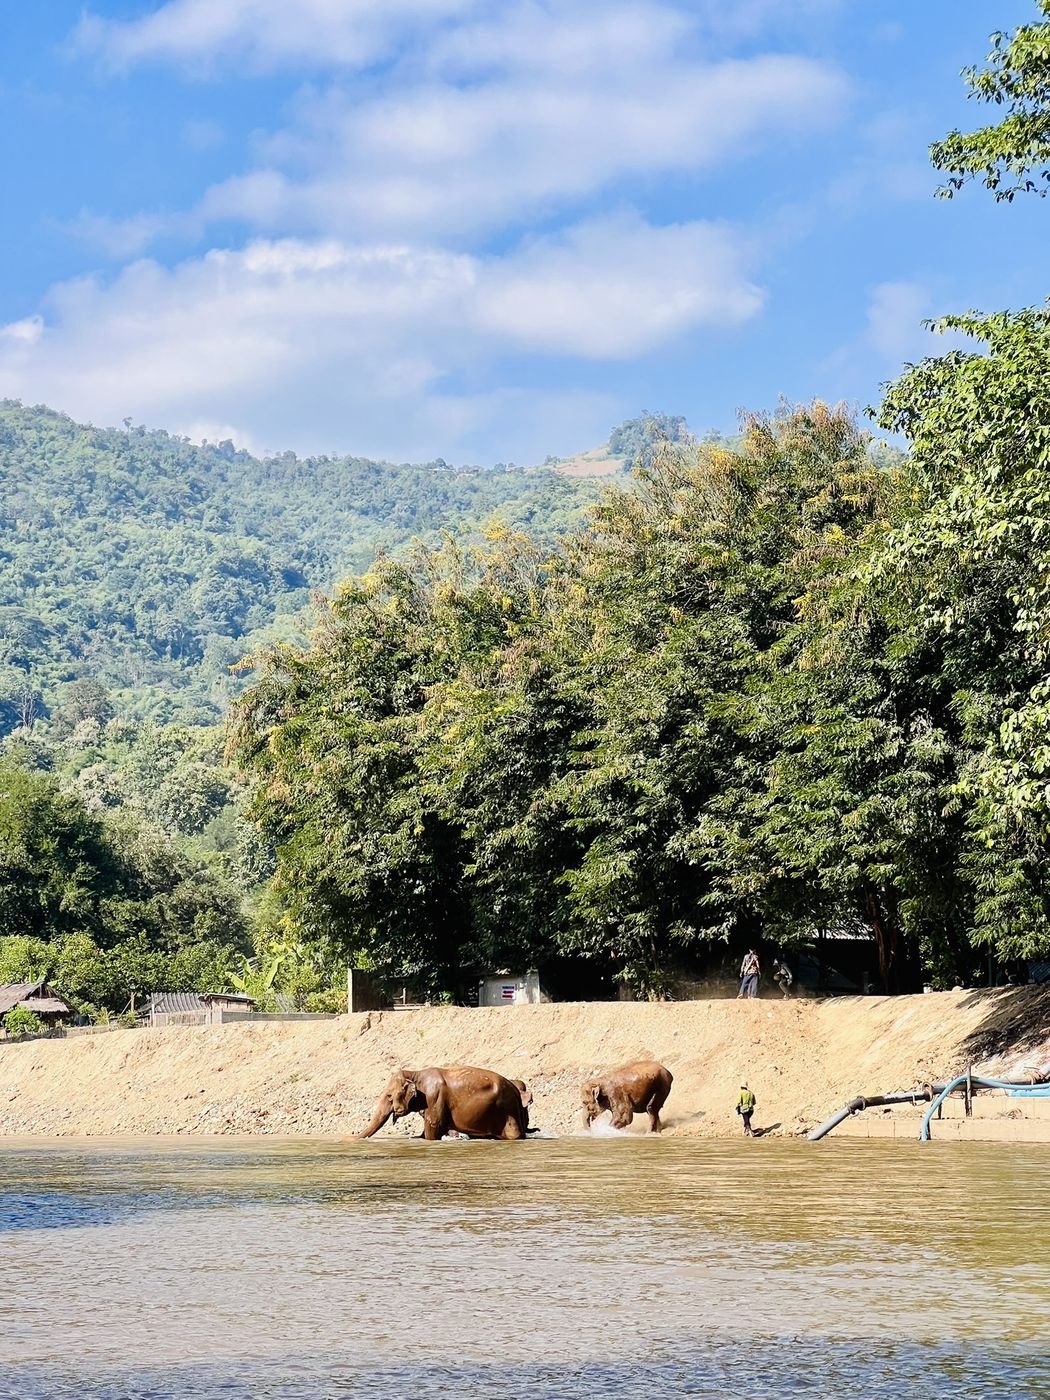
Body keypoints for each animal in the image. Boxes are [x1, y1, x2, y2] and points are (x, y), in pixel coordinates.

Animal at [355, 1065, 533, 1140]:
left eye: (389, 1096)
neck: (415, 1073)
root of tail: (515, 1091)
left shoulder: (434, 1099)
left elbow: (432, 1132)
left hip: (507, 1110)